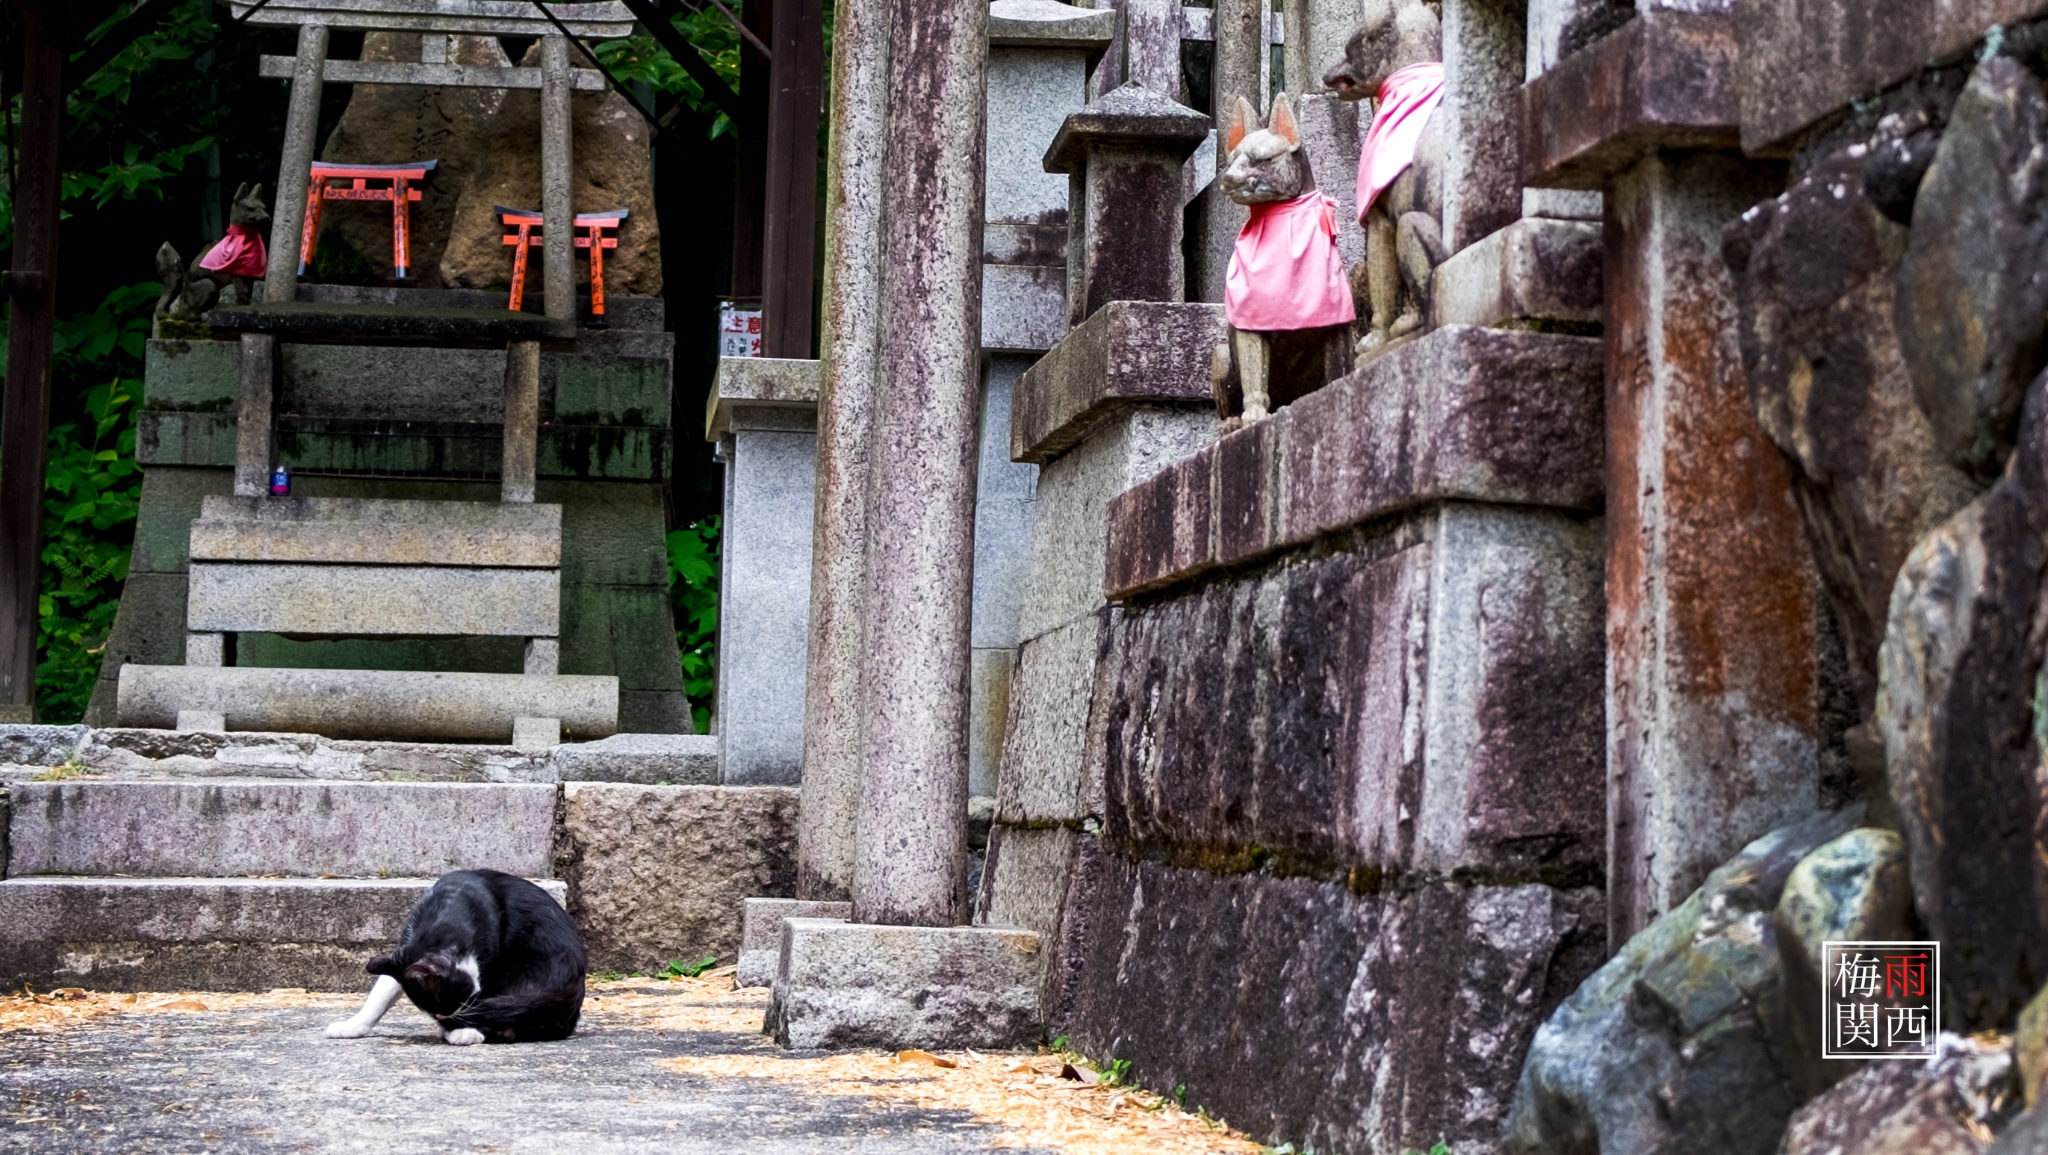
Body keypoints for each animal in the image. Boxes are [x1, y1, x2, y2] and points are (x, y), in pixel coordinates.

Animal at [323, 868, 589, 1048]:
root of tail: (575, 988)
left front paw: (460, 1030)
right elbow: (380, 994)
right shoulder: (402, 953)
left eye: (458, 1003)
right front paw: (353, 1025)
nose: (447, 1020)